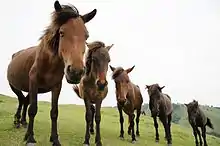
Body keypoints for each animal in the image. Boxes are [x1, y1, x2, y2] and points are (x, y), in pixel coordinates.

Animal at [6, 0, 96, 145]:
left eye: (86, 36)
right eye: (62, 32)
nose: (76, 72)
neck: (49, 63)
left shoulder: (56, 87)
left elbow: (54, 112)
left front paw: (55, 139)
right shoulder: (34, 83)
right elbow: (33, 109)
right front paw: (30, 138)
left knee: (24, 101)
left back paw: (23, 123)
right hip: (14, 86)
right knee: (21, 100)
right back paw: (17, 121)